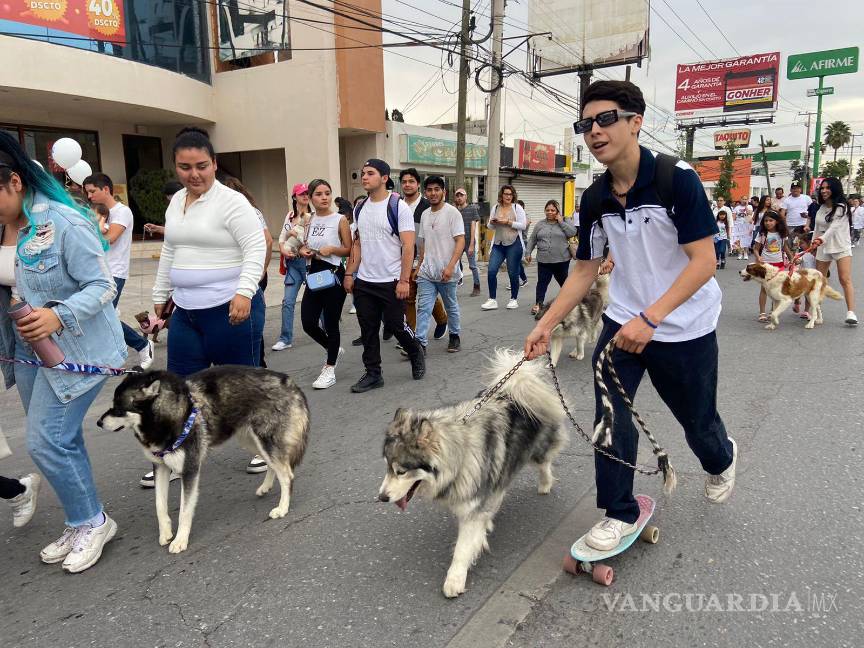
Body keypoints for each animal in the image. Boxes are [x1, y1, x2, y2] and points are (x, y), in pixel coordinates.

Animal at [97, 368, 308, 556]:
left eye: (119, 409)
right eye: (112, 405)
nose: (98, 423)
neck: (169, 416)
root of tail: (288, 380)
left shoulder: (190, 468)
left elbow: (184, 511)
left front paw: (180, 540)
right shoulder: (160, 467)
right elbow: (159, 505)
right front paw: (165, 532)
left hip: (264, 439)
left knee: (286, 474)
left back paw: (282, 507)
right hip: (251, 441)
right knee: (274, 465)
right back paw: (266, 487)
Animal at [378, 352, 568, 600]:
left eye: (401, 471)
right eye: (387, 468)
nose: (381, 497)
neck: (459, 454)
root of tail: (519, 382)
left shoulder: (471, 509)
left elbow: (462, 548)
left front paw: (455, 579)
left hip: (537, 449)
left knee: (544, 462)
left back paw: (545, 484)